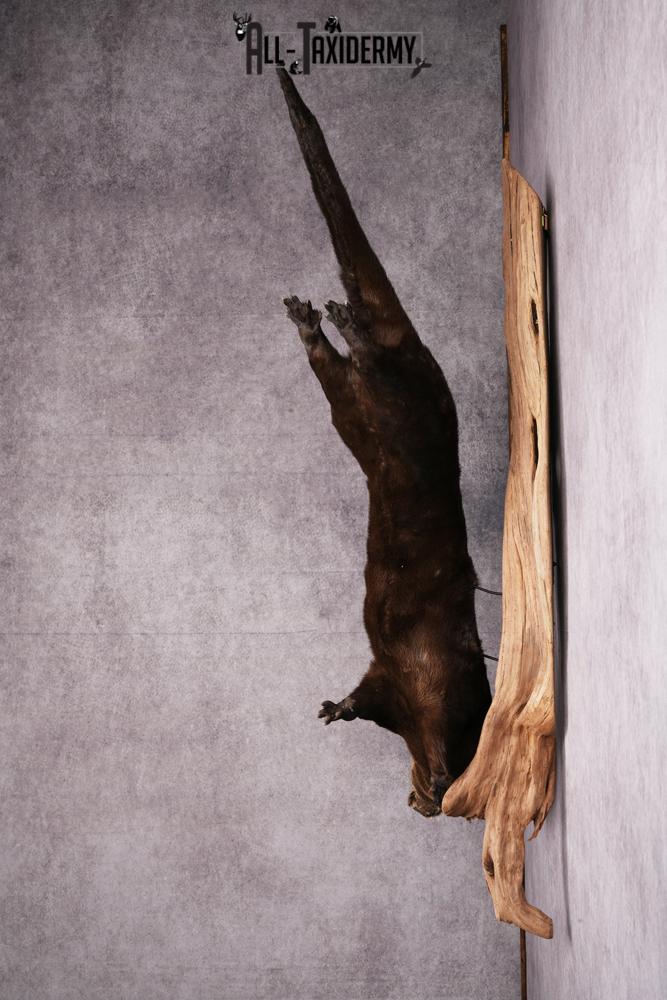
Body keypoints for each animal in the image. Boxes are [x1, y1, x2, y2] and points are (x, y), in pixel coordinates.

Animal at [278, 69, 492, 817]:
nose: (421, 801)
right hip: (404, 402)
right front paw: (439, 776)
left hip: (360, 408)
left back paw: (314, 321)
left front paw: (335, 709)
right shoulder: (422, 683)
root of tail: (415, 350)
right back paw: (339, 319)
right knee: (366, 358)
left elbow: (363, 697)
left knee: (337, 369)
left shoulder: (399, 683)